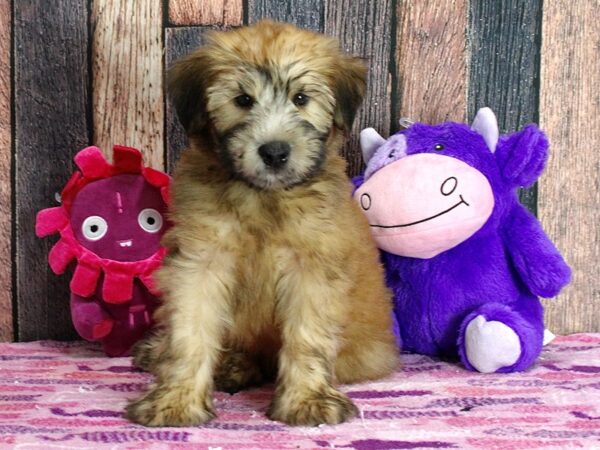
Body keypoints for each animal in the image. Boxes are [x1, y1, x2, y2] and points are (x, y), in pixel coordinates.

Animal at [126, 19, 398, 428]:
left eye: (301, 99)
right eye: (242, 100)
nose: (274, 152)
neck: (262, 198)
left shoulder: (313, 267)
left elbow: (307, 336)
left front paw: (306, 399)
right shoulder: (200, 261)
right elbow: (189, 332)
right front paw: (176, 399)